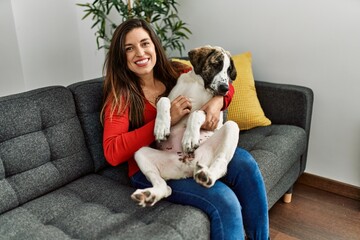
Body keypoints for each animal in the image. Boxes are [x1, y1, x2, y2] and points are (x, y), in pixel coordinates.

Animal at [131, 46, 239, 207]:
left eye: (228, 70)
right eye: (216, 65)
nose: (225, 88)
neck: (198, 84)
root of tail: (188, 167)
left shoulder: (211, 112)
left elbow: (197, 113)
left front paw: (189, 138)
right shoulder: (173, 98)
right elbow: (163, 100)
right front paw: (161, 127)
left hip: (231, 128)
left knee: (222, 164)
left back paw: (207, 176)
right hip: (140, 153)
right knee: (166, 188)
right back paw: (149, 195)